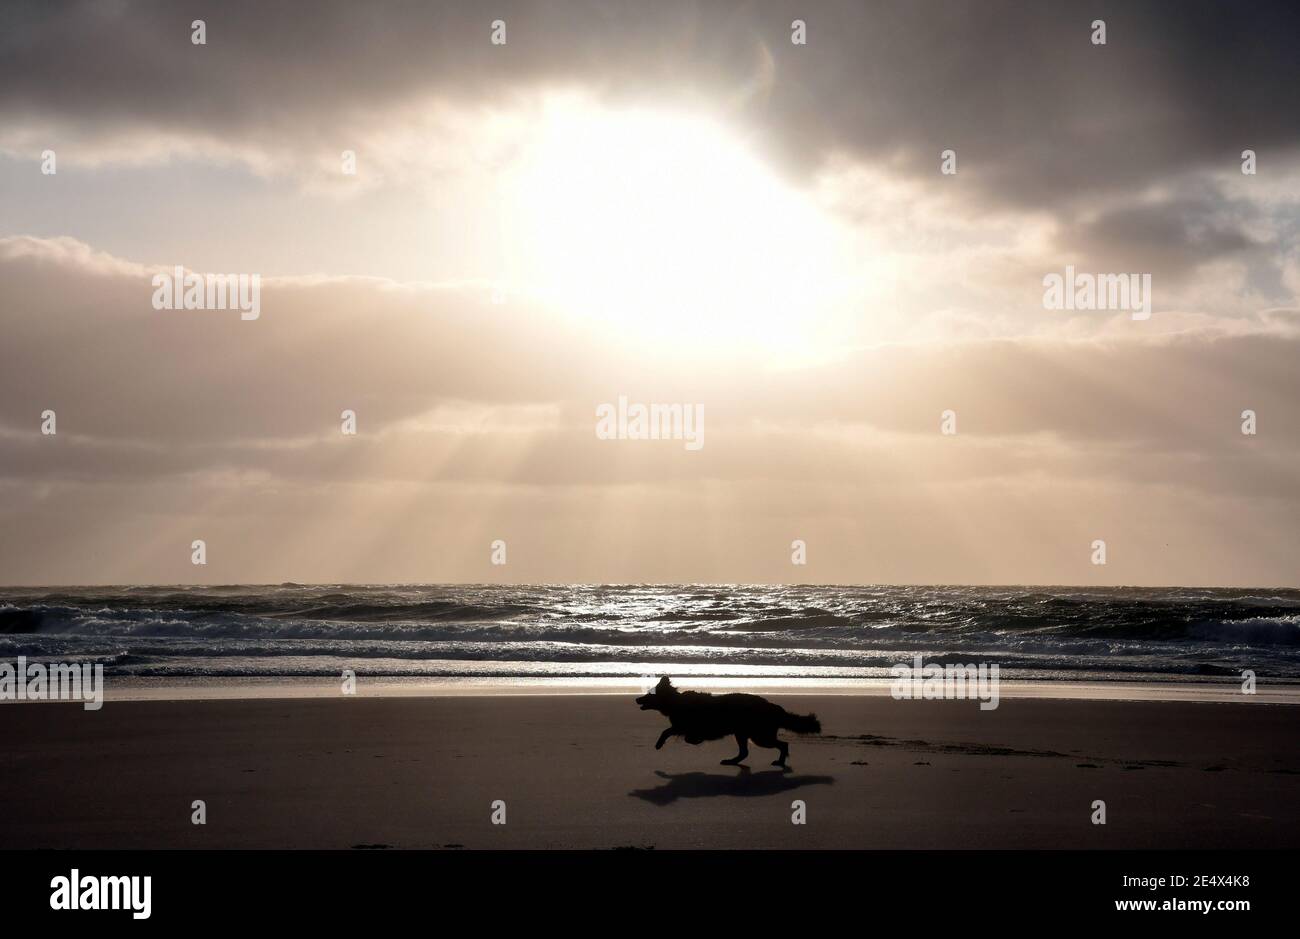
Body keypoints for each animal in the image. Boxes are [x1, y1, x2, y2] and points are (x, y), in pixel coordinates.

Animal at [631, 676, 821, 764]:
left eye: (649, 694)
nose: (637, 699)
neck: (676, 702)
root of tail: (773, 706)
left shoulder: (683, 727)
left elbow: (669, 732)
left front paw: (660, 744)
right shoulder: (681, 727)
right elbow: (671, 732)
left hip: (759, 737)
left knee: (783, 745)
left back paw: (780, 762)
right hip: (743, 734)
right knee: (745, 753)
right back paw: (732, 761)